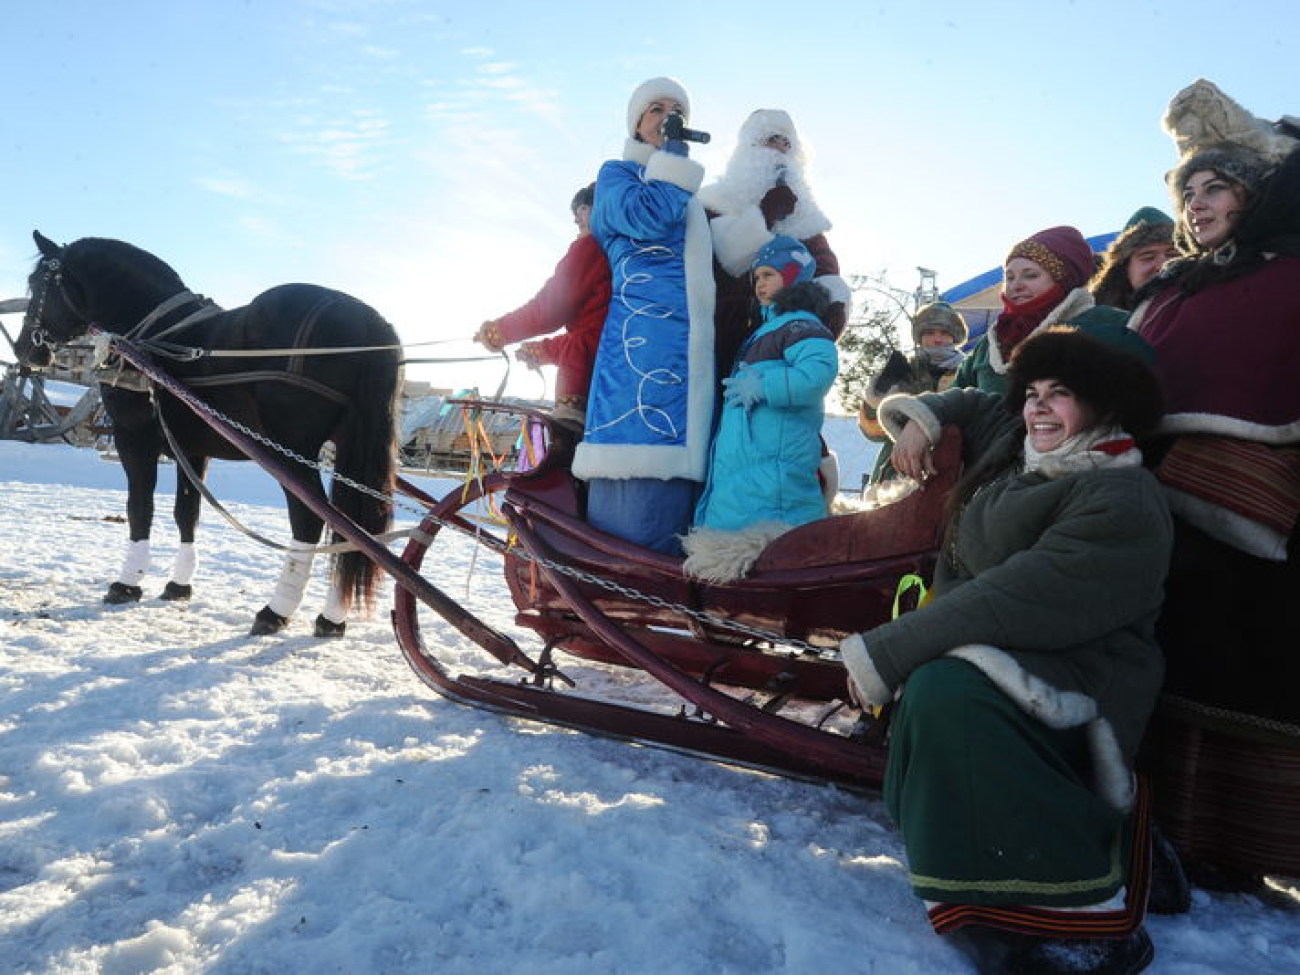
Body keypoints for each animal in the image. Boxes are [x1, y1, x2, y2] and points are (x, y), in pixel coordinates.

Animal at [13, 231, 400, 637]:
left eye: (37, 284)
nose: (23, 348)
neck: (152, 334)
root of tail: (366, 320)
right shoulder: (192, 449)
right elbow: (188, 512)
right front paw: (178, 584)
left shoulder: (133, 438)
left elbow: (140, 508)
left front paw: (128, 582)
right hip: (349, 451)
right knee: (355, 531)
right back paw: (332, 617)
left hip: (291, 452)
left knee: (311, 522)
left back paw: (276, 609)